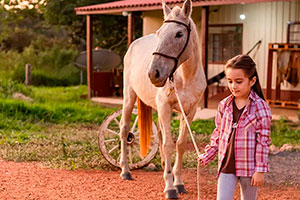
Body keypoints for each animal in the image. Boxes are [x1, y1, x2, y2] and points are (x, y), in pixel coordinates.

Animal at [119, 0, 206, 198]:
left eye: (179, 34)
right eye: (159, 33)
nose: (153, 74)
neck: (185, 77)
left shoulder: (189, 111)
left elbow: (180, 144)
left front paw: (178, 182)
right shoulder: (166, 107)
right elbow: (167, 144)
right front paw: (170, 187)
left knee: (158, 133)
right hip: (129, 97)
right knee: (124, 129)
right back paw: (126, 171)